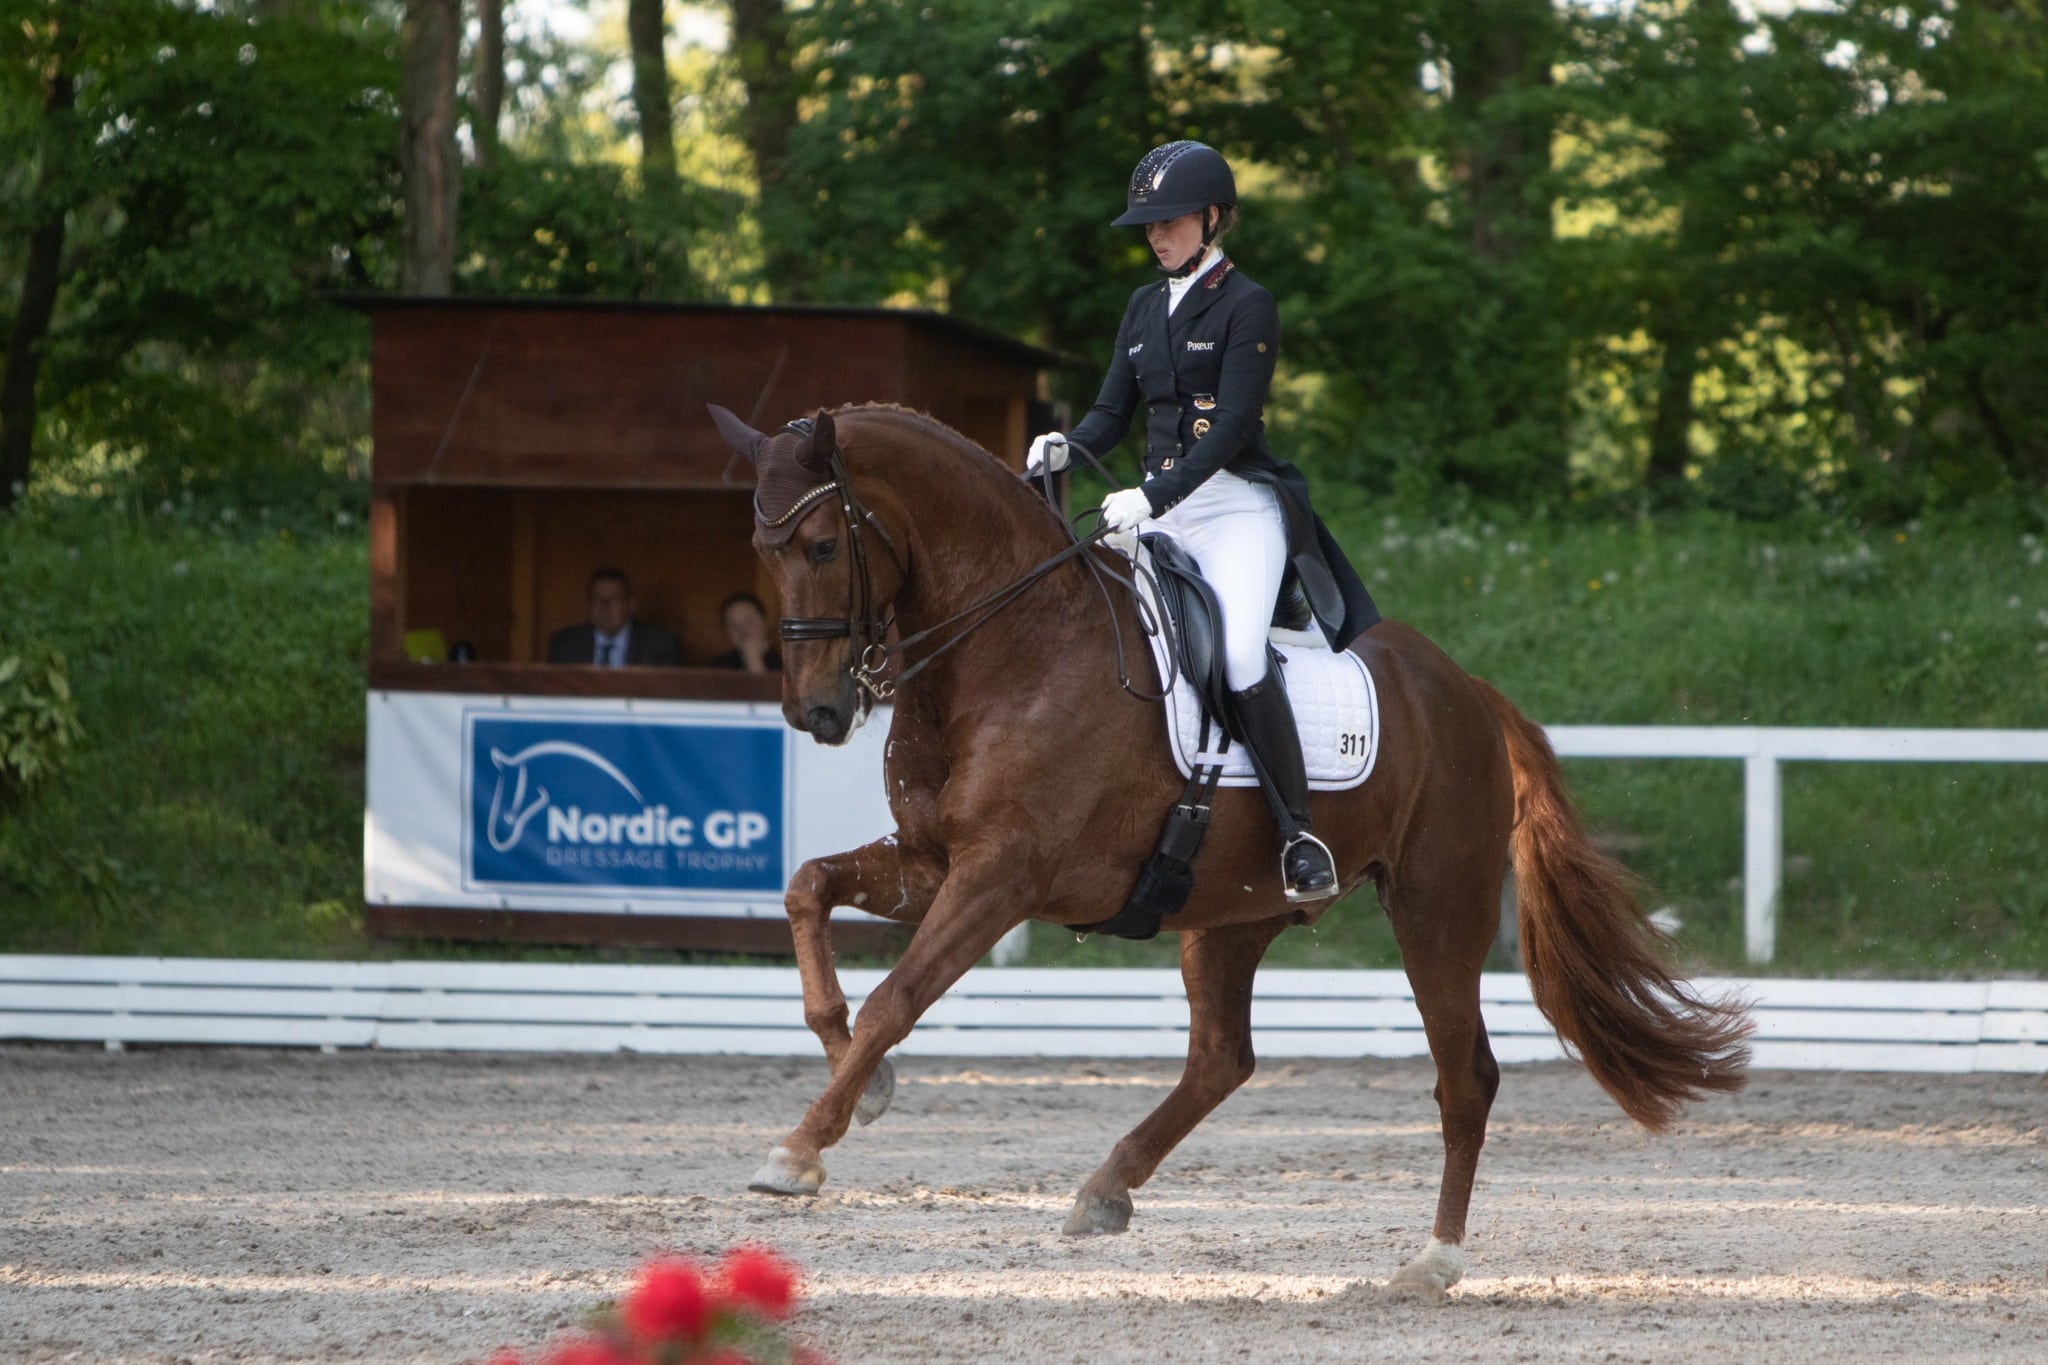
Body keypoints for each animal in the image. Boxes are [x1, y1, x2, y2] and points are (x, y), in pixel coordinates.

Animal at [712, 405, 1753, 1301]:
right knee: (1223, 1057)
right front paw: (862, 1083)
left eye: (821, 544)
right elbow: (807, 891)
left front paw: (800, 1148)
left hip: (1436, 909)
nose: (818, 712)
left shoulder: (1000, 875)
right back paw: (1106, 1187)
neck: (1010, 644)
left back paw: (1431, 1263)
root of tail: (1465, 688)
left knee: (1465, 1081)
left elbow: (899, 995)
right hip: (1230, 911)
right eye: (761, 550)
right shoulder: (931, 859)